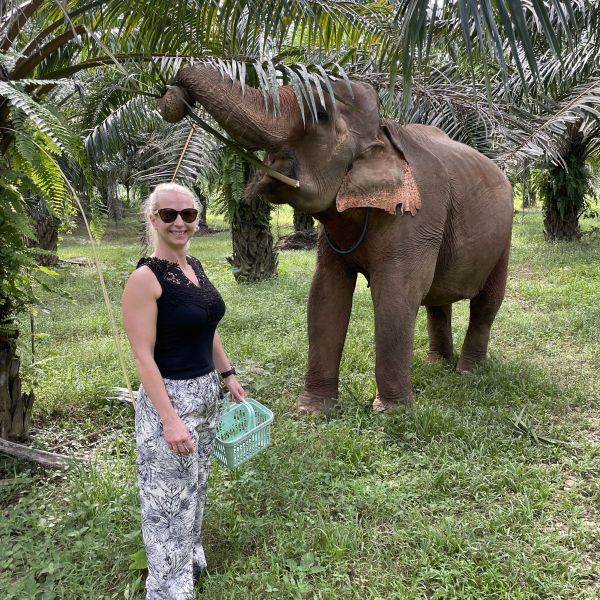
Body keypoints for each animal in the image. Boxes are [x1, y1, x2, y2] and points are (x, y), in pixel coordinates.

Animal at [157, 63, 512, 414]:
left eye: (319, 114)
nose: (173, 90)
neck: (384, 130)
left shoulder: (417, 217)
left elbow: (397, 294)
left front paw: (392, 413)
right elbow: (325, 293)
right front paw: (313, 410)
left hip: (504, 238)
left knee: (486, 302)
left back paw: (468, 370)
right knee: (438, 300)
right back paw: (437, 363)